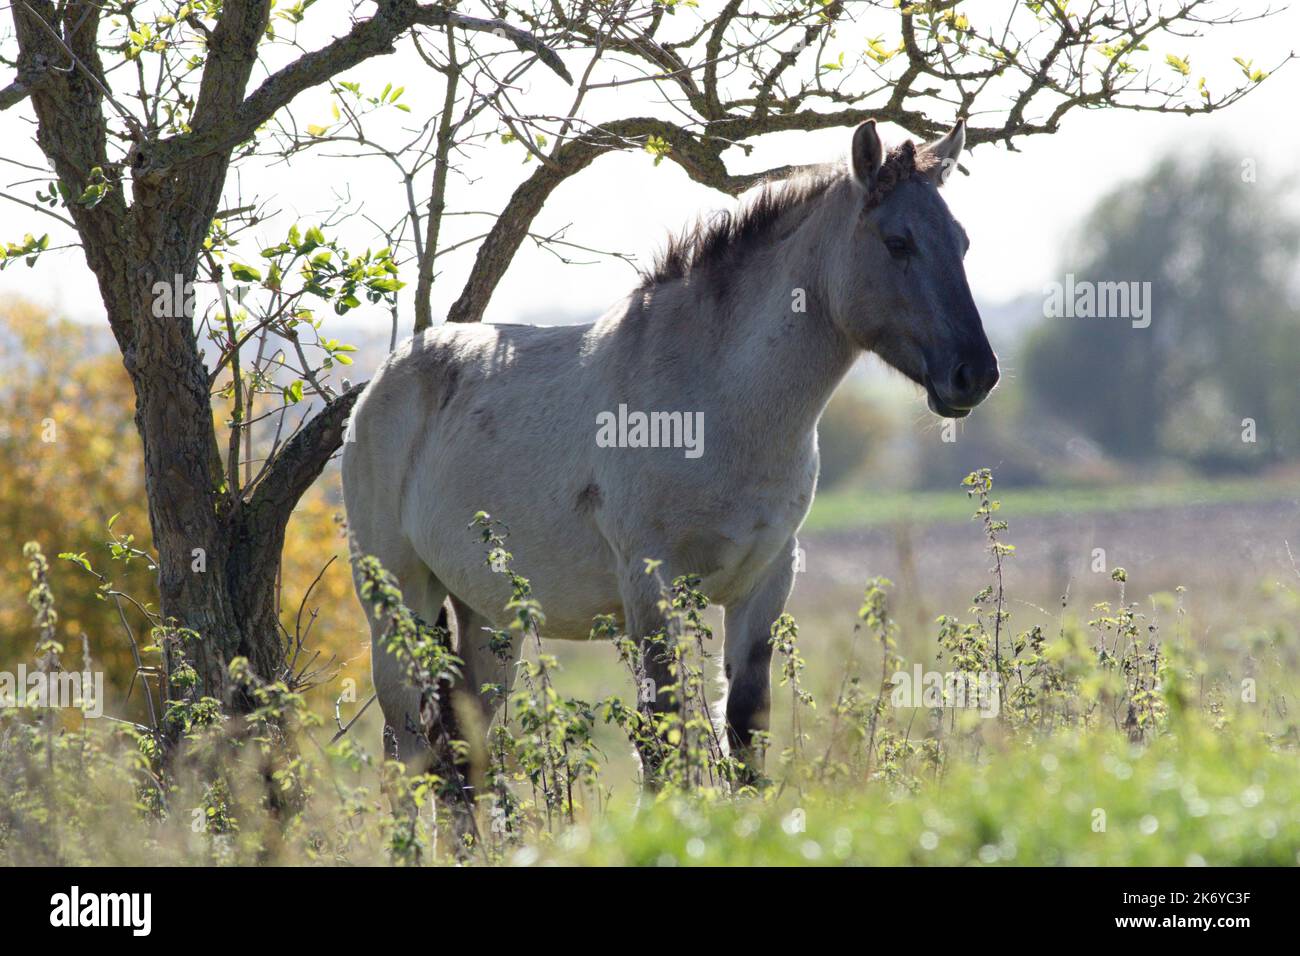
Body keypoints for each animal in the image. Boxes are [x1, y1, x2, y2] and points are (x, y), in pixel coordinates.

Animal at [342, 118, 999, 775]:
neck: (715, 402)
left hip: (487, 614)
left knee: (462, 749)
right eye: (897, 242)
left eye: (964, 243)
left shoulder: (765, 585)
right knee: (406, 744)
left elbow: (744, 734)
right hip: (398, 604)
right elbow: (664, 743)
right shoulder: (652, 589)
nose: (976, 374)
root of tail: (380, 383)